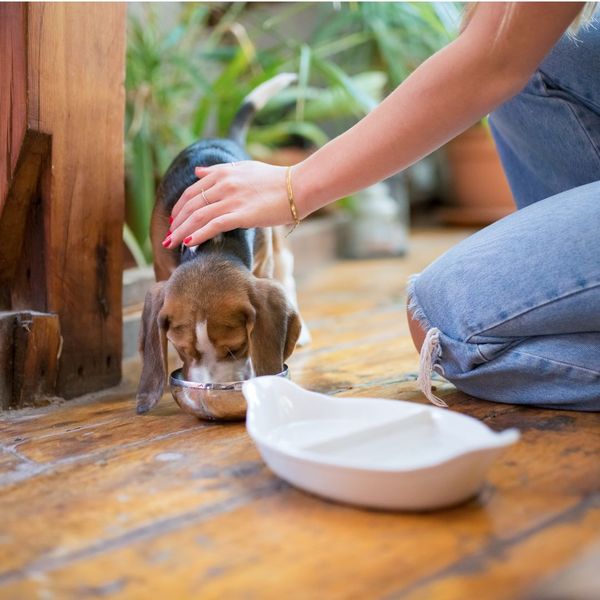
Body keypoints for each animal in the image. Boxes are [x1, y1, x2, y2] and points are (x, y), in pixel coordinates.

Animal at [134, 72, 308, 414]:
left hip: (277, 246)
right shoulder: (162, 265)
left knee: (287, 277)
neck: (213, 243)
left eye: (236, 347)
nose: (211, 388)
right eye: (181, 348)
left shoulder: (262, 267)